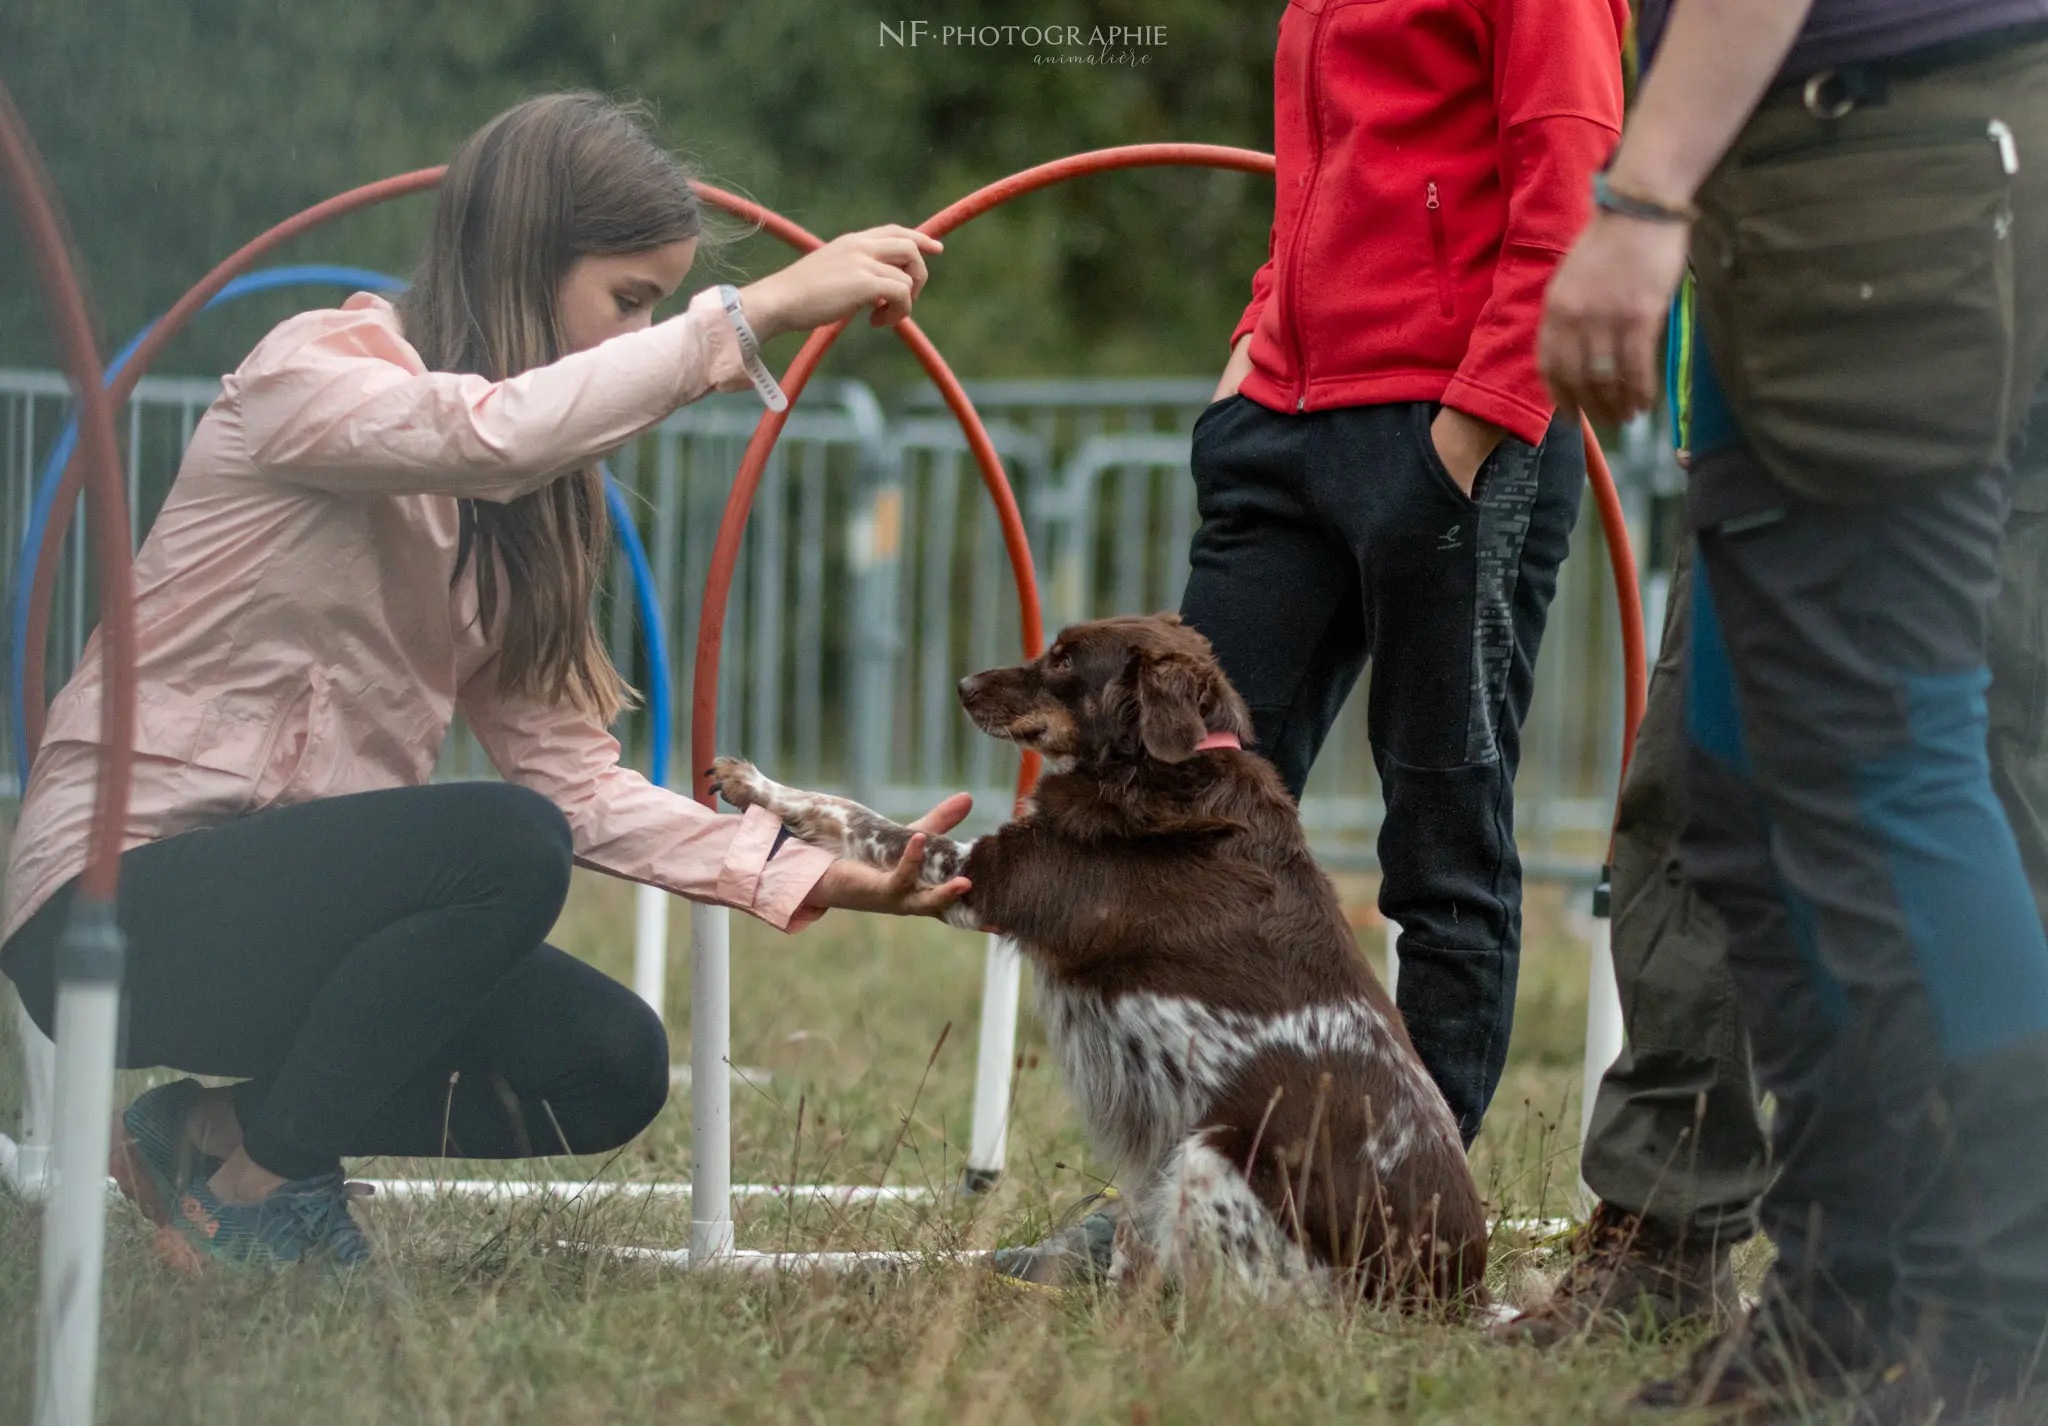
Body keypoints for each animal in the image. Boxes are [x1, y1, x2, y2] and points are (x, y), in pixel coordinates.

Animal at [712, 614, 1482, 1303]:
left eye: (1063, 660)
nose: (963, 685)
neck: (1151, 769)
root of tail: (1456, 1296)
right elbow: (1131, 1249)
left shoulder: (979, 875)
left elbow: (851, 812)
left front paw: (759, 784)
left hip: (1210, 1156)